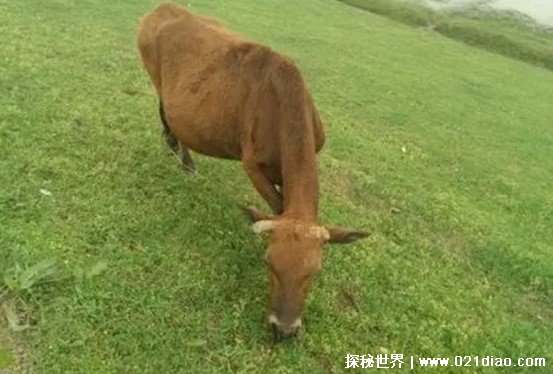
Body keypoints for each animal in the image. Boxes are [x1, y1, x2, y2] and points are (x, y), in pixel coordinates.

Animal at [137, 2, 366, 340]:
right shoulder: (252, 164)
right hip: (153, 71)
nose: (283, 328)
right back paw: (183, 158)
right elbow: (277, 208)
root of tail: (164, 8)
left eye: (315, 272)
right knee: (166, 111)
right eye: (268, 262)